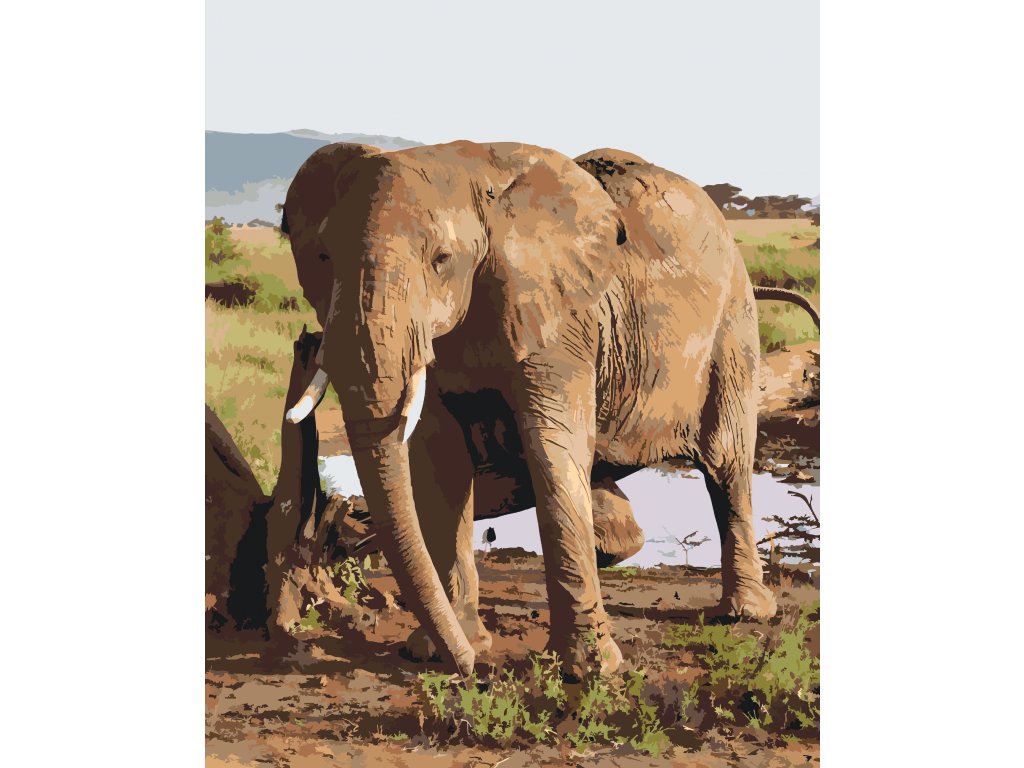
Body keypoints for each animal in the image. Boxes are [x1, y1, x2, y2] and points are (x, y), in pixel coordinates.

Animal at [279, 140, 819, 678]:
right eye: (323, 257)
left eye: (441, 258)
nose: (470, 670)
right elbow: (439, 464)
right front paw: (444, 649)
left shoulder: (561, 322)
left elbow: (551, 445)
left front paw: (590, 670)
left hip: (733, 326)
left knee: (727, 462)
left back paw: (744, 613)